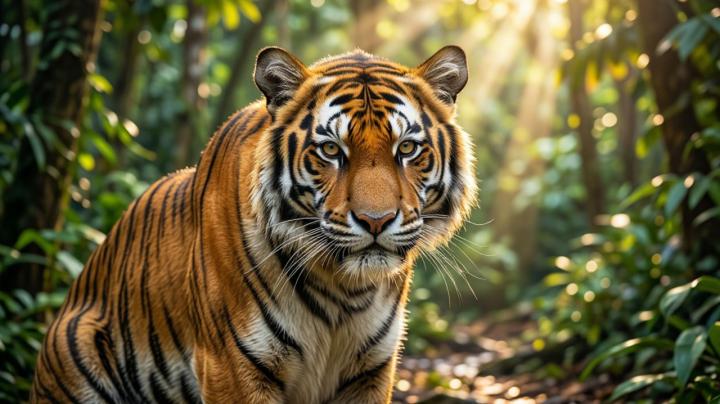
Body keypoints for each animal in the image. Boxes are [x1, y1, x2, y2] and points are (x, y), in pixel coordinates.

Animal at [30, 45, 476, 404]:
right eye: (331, 150)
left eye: (408, 148)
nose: (376, 221)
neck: (343, 290)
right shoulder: (232, 366)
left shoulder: (370, 371)